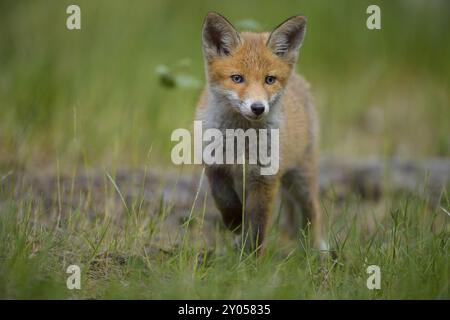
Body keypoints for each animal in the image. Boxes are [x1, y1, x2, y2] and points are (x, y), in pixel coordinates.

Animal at [194, 12, 326, 255]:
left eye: (269, 79)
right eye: (237, 78)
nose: (257, 108)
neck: (240, 140)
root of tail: (299, 78)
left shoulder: (264, 178)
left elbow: (258, 225)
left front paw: (252, 259)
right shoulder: (215, 166)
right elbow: (225, 200)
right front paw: (235, 223)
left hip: (300, 178)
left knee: (312, 210)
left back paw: (318, 249)